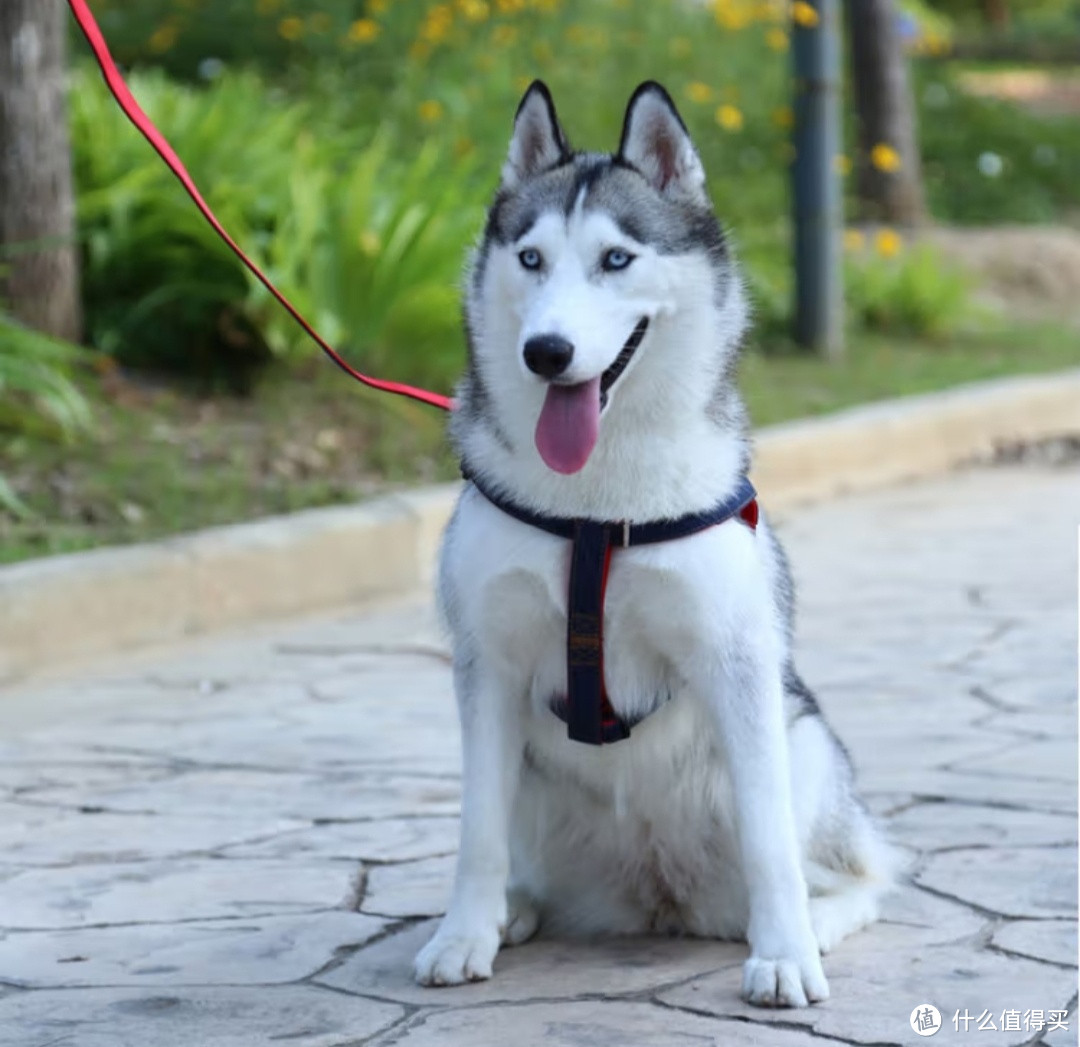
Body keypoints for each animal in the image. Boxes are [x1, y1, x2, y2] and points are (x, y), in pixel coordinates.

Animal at [412, 79, 894, 1007]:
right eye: (531, 258)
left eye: (616, 259)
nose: (546, 351)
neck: (595, 511)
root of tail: (657, 893)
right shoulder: (486, 667)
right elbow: (476, 830)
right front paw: (464, 932)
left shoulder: (737, 660)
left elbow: (771, 843)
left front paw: (787, 955)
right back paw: (514, 912)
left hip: (804, 740)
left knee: (859, 872)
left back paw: (811, 923)